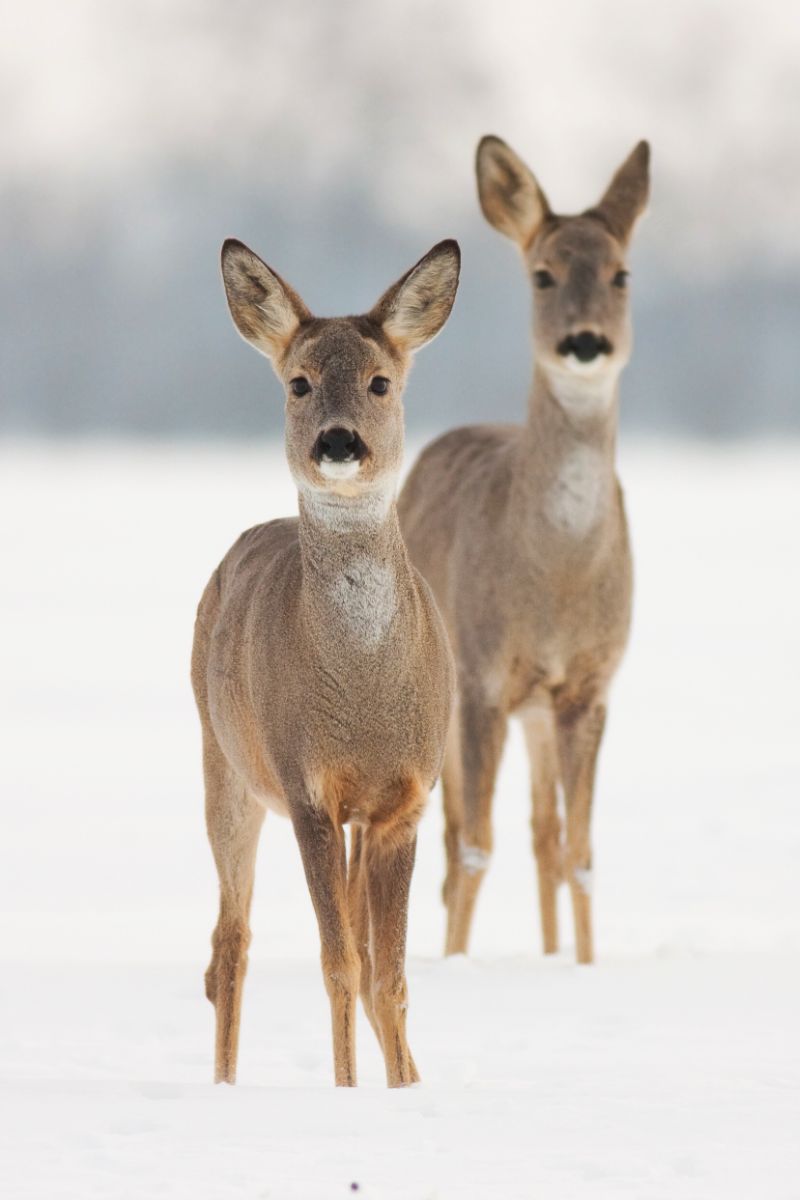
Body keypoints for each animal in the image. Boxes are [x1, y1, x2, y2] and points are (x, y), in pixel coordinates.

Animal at [190, 234, 460, 1089]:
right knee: (228, 946)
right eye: (299, 381)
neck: (364, 695)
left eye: (381, 381)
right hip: (226, 766)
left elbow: (389, 972)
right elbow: (339, 963)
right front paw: (346, 1092)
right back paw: (223, 1084)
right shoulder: (308, 787)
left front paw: (402, 1089)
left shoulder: (403, 798)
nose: (338, 441)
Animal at [398, 138, 652, 964]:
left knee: (543, 833)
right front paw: (454, 964)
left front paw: (583, 966)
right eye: (542, 274)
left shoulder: (589, 686)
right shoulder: (481, 678)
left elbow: (580, 850)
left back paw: (546, 954)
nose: (585, 342)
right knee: (451, 838)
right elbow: (475, 844)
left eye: (621, 273)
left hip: (537, 712)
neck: (557, 582)